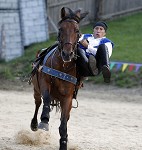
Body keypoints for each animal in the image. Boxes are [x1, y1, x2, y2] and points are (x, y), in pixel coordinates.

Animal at [30, 7, 88, 150]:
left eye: (77, 31)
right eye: (61, 29)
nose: (67, 53)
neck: (63, 67)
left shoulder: (67, 98)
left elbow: (63, 124)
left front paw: (64, 142)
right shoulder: (44, 83)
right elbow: (45, 100)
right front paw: (44, 120)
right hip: (36, 89)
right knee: (38, 102)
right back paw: (34, 124)